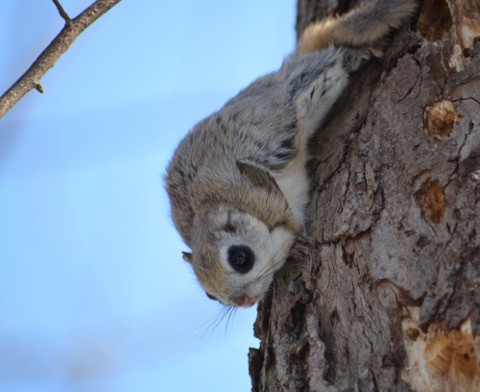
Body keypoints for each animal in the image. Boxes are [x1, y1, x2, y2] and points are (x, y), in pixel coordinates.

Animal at [166, 1, 420, 310]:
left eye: (241, 258)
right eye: (209, 295)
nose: (245, 301)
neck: (209, 207)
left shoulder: (263, 199)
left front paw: (298, 242)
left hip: (304, 96)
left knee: (330, 60)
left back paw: (355, 54)